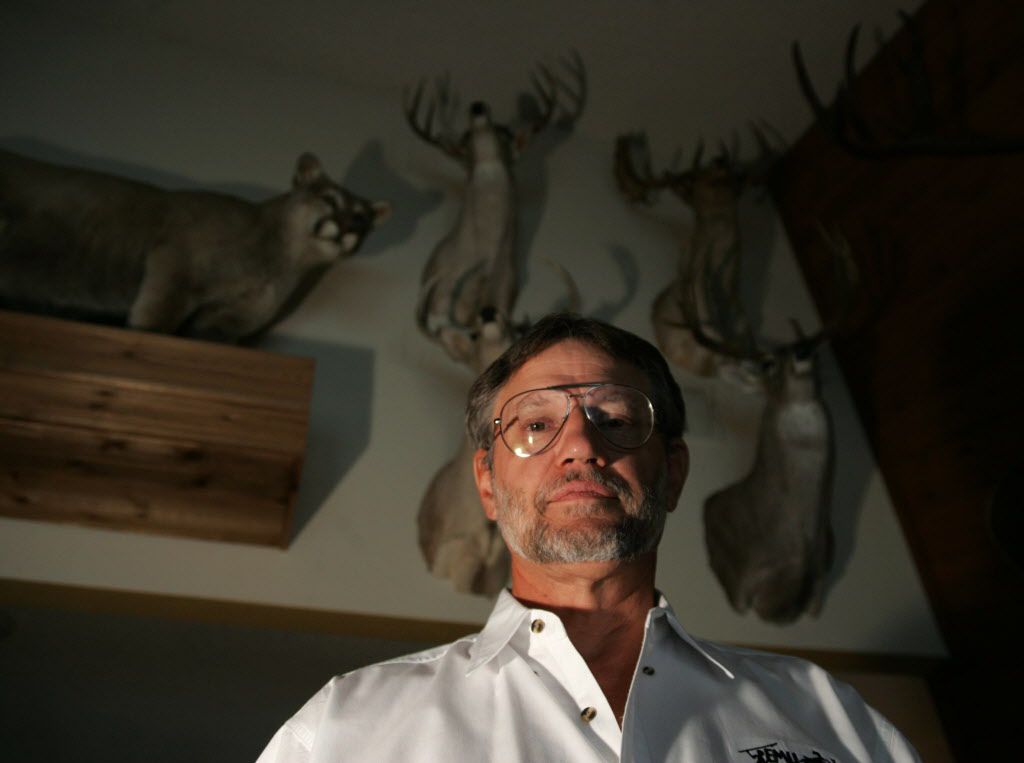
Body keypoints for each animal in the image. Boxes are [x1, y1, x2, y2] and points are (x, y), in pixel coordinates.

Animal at [0, 148, 389, 340]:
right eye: (330, 200)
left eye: (360, 219)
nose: (346, 228)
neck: (284, 261)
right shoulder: (178, 261)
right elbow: (159, 312)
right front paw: (146, 333)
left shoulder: (228, 320)